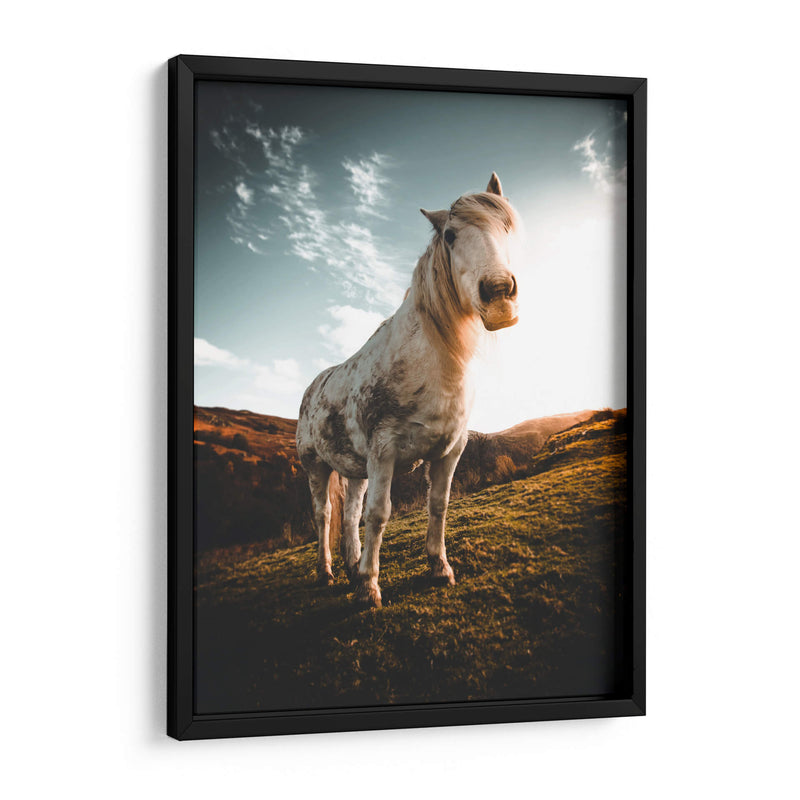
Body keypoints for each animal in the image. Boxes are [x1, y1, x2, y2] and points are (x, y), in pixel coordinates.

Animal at [296, 173, 519, 608]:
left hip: (355, 469)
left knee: (350, 513)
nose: (499, 293)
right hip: (316, 465)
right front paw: (370, 588)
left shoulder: (450, 451)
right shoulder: (384, 452)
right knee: (323, 515)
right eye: (450, 235)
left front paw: (439, 568)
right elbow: (379, 514)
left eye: (507, 226)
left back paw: (351, 566)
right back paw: (327, 571)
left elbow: (438, 505)